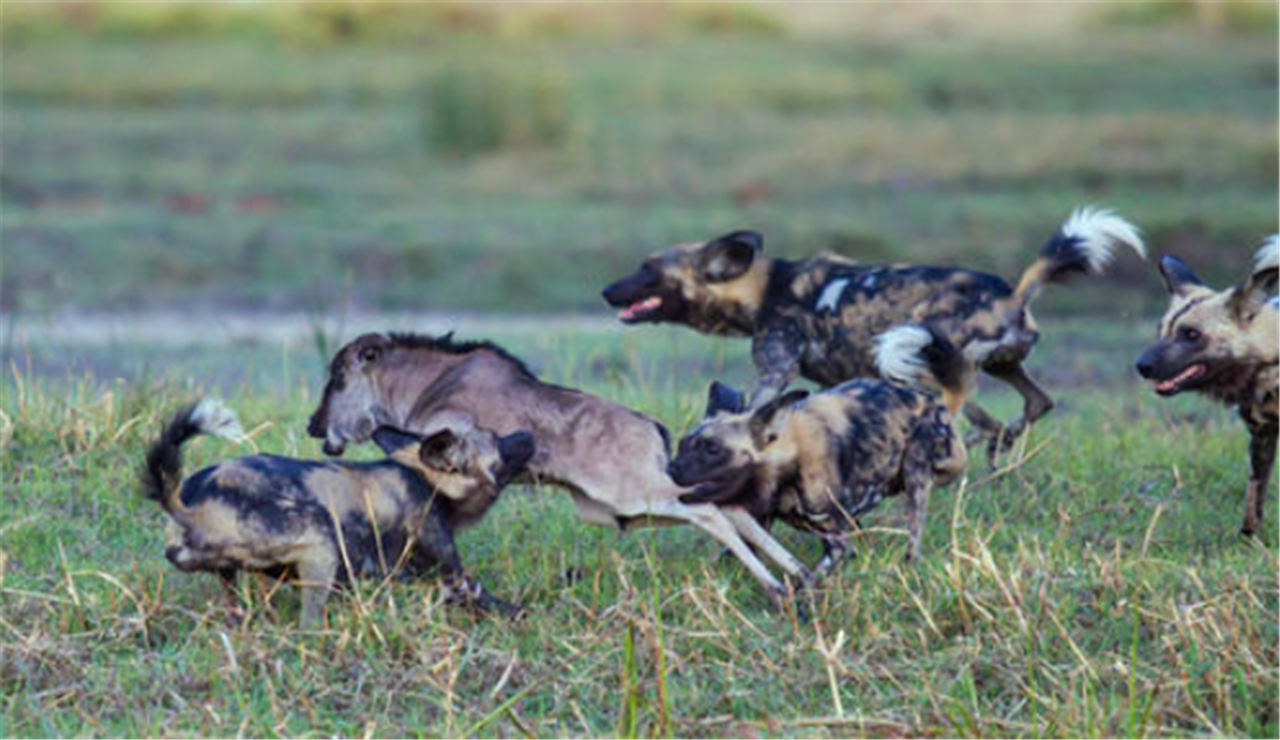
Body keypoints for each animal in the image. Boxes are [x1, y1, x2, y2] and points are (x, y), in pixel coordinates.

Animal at [145, 396, 535, 622]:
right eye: (496, 440)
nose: (529, 435)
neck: (426, 478)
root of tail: (183, 504)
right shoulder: (453, 572)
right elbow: (485, 596)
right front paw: (522, 612)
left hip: (233, 574)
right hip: (320, 541)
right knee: (308, 625)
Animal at [304, 332, 814, 604]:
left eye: (339, 376)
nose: (314, 424)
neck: (432, 383)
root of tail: (653, 429)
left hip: (638, 493)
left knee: (714, 514)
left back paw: (777, 586)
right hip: (628, 506)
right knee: (732, 510)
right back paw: (802, 575)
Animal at [601, 204, 1152, 453]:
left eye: (647, 270)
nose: (607, 291)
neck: (766, 289)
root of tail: (1013, 292)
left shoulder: (775, 371)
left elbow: (756, 409)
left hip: (931, 357)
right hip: (965, 367)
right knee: (1028, 407)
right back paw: (992, 450)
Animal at [670, 323, 967, 576]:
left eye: (712, 449)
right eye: (681, 446)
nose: (671, 468)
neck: (788, 463)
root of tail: (931, 400)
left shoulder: (837, 543)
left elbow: (812, 580)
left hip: (920, 472)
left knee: (914, 535)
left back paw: (909, 566)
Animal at [1136, 235, 1274, 535]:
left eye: (1191, 334)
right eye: (1160, 331)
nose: (1141, 366)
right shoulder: (1262, 437)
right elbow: (1253, 501)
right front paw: (1249, 540)